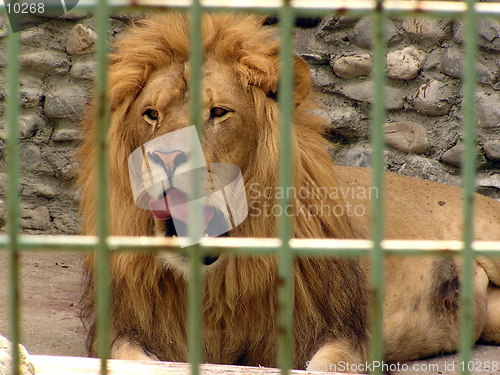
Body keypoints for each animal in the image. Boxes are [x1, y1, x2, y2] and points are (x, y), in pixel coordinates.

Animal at [77, 13, 500, 372]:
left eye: (218, 112)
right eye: (151, 115)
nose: (165, 156)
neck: (219, 282)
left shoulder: (341, 332)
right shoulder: (122, 330)